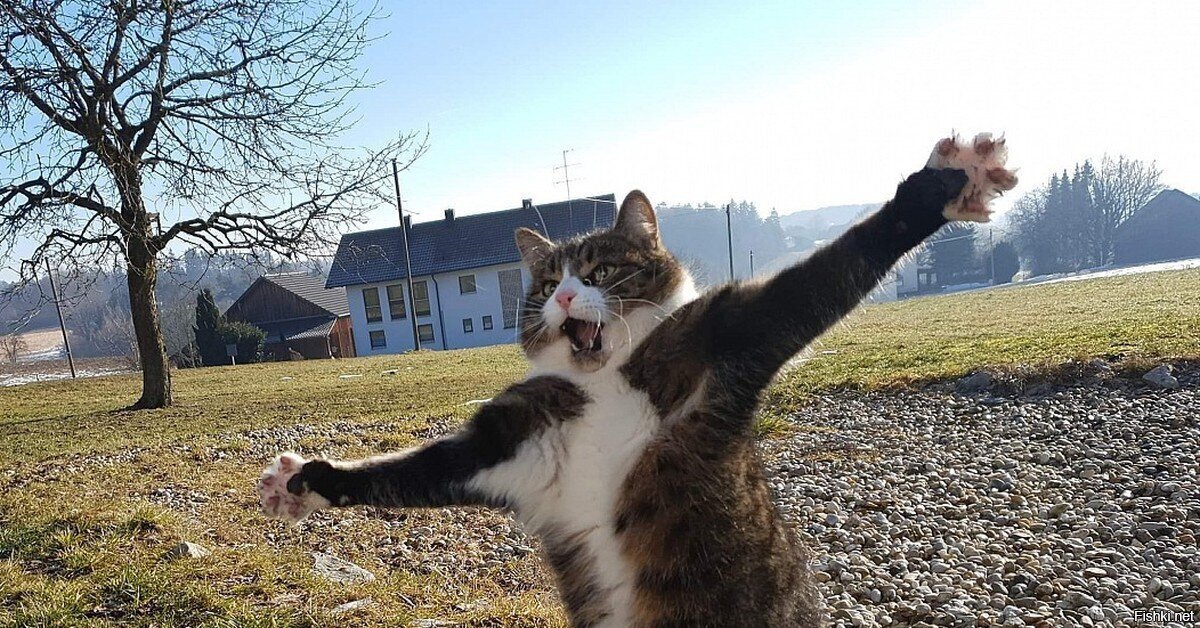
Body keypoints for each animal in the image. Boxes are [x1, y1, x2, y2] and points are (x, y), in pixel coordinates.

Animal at [259, 133, 1017, 627]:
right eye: (544, 285)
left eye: (599, 271)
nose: (566, 297)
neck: (601, 383)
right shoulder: (513, 444)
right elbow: (410, 471)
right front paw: (306, 484)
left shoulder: (729, 336)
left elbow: (827, 275)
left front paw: (941, 188)